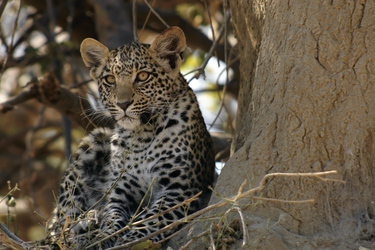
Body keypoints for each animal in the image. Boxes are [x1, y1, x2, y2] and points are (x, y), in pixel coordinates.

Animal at [47, 26, 214, 249]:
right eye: (110, 79)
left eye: (142, 76)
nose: (123, 104)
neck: (142, 134)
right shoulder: (120, 191)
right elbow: (112, 219)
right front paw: (102, 238)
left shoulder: (181, 188)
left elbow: (151, 219)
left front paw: (130, 240)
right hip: (95, 140)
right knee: (61, 221)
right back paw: (86, 224)